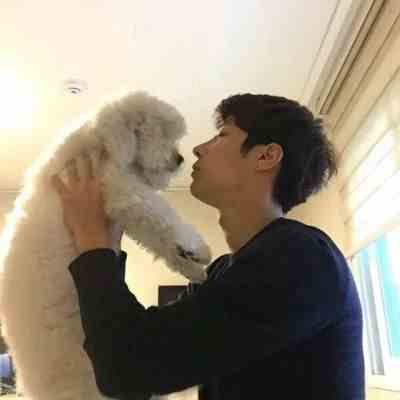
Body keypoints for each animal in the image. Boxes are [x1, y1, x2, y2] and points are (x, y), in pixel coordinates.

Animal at [0, 91, 212, 399]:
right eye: (158, 129)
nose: (179, 159)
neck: (100, 144)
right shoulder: (119, 189)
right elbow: (162, 215)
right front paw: (197, 249)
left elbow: (159, 237)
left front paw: (192, 265)